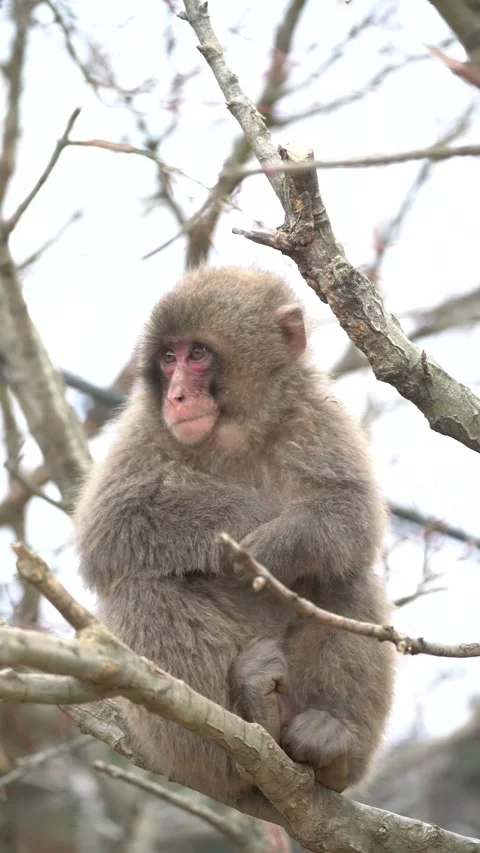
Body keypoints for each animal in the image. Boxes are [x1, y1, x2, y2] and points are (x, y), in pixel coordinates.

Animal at [74, 265, 395, 802]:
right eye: (168, 357)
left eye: (198, 354)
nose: (177, 396)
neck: (236, 432)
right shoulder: (145, 430)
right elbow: (110, 528)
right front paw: (247, 519)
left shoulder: (317, 413)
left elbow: (351, 512)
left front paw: (275, 544)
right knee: (143, 589)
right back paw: (247, 727)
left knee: (346, 572)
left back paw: (328, 749)